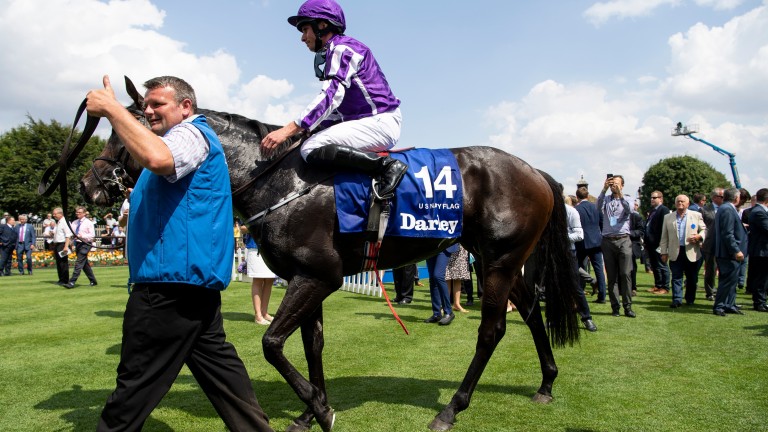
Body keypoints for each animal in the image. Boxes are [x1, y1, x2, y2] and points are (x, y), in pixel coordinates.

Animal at [79, 77, 584, 432]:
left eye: (131, 127)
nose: (88, 185)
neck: (280, 177)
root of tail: (535, 170)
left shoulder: (317, 276)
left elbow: (272, 343)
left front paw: (319, 408)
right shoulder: (308, 278)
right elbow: (311, 344)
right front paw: (312, 409)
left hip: (498, 262)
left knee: (492, 330)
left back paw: (451, 409)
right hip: (502, 261)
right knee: (532, 313)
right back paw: (546, 383)